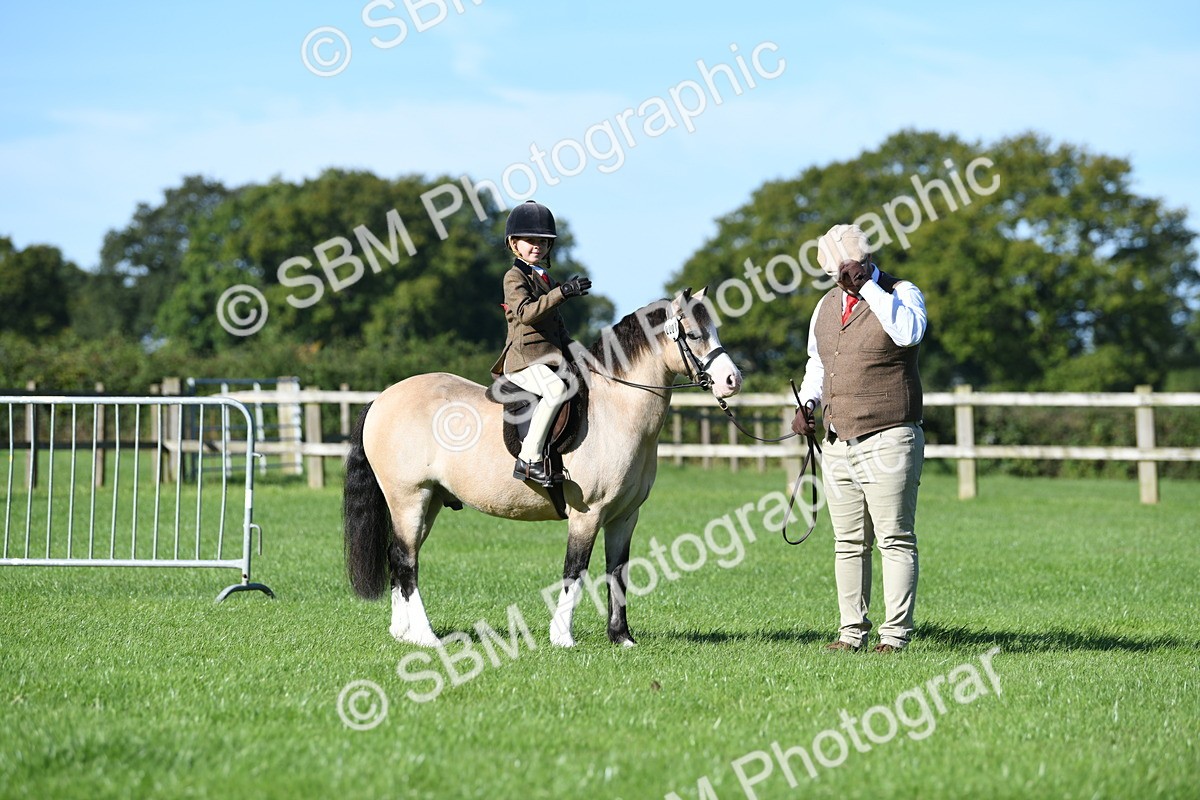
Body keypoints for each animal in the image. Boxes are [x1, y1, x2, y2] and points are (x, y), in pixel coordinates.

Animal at [342, 287, 743, 647]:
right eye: (694, 334)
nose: (732, 380)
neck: (616, 408)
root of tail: (382, 398)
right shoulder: (587, 514)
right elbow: (575, 571)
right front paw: (562, 637)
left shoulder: (624, 516)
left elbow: (617, 573)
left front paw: (622, 638)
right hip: (409, 499)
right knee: (405, 561)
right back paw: (425, 637)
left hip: (429, 502)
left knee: (399, 557)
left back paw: (403, 633)